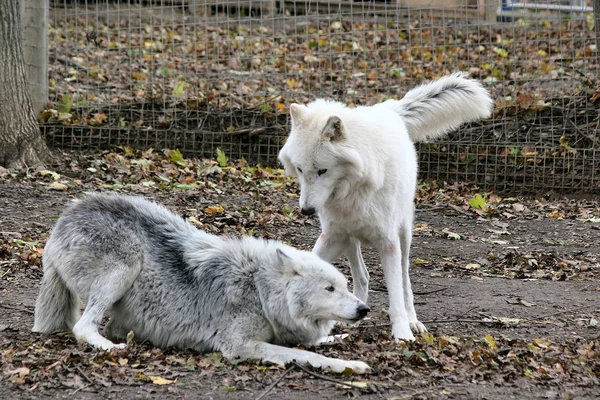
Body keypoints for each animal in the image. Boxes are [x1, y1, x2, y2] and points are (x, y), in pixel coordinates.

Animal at [34, 195, 370, 374]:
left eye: (345, 286)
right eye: (329, 289)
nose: (364, 309)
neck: (259, 288)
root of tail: (64, 218)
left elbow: (314, 343)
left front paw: (338, 338)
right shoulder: (239, 346)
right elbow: (309, 355)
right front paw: (353, 365)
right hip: (124, 268)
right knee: (84, 327)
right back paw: (111, 347)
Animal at [276, 72, 492, 340]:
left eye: (322, 171)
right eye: (300, 169)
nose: (306, 210)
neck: (353, 189)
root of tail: (388, 108)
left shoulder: (388, 242)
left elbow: (396, 295)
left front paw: (402, 333)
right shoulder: (332, 236)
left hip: (403, 235)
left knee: (405, 282)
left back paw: (413, 321)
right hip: (349, 240)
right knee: (363, 275)